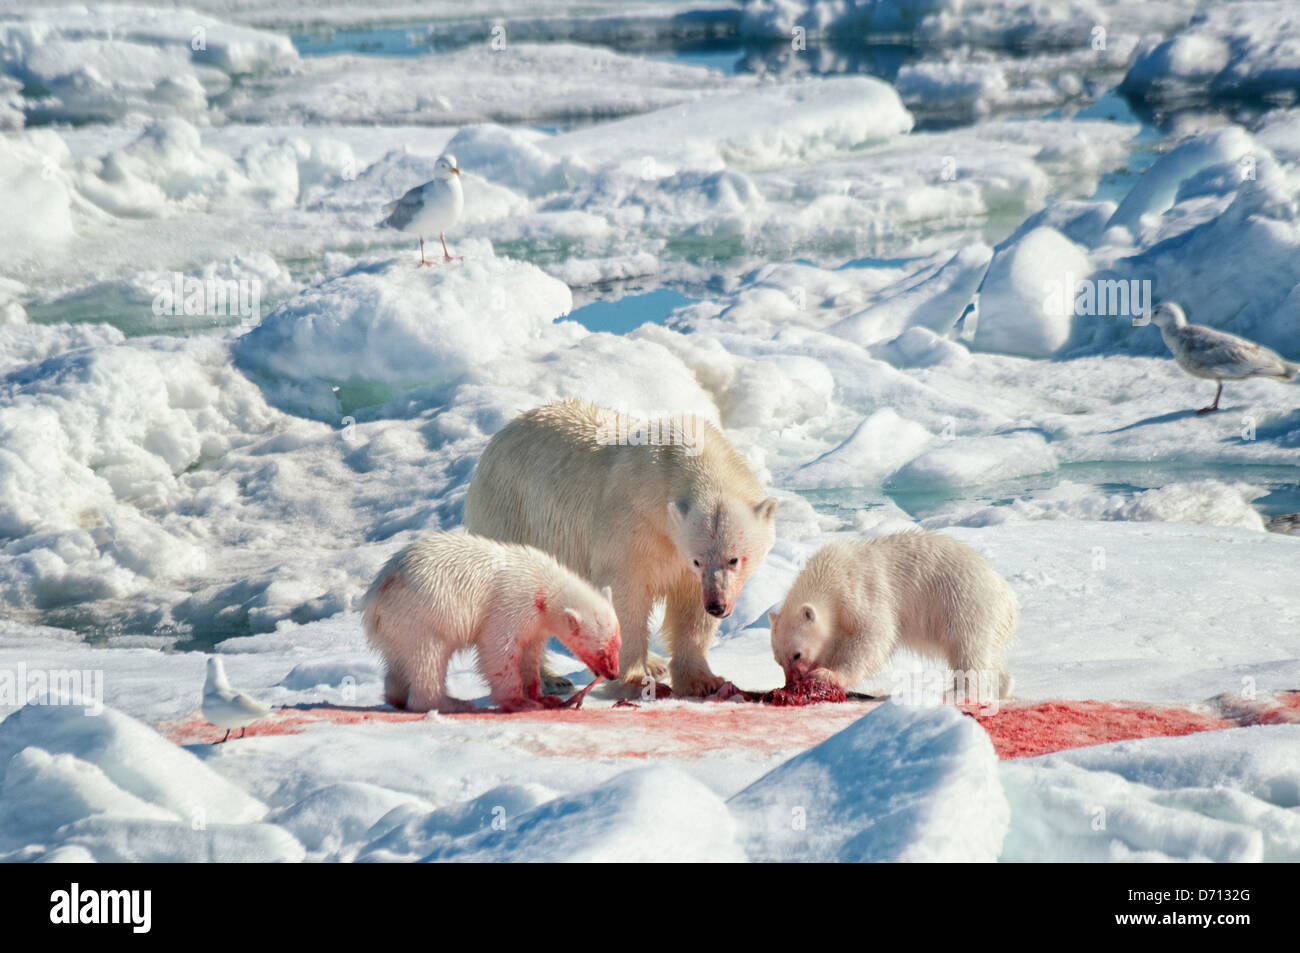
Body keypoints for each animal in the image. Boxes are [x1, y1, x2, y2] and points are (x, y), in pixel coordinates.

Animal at [465, 397, 774, 696]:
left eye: (734, 559)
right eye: (699, 560)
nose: (717, 605)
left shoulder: (681, 557)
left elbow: (691, 610)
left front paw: (702, 681)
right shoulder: (633, 527)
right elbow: (626, 595)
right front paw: (634, 681)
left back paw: (655, 663)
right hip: (512, 516)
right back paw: (549, 678)